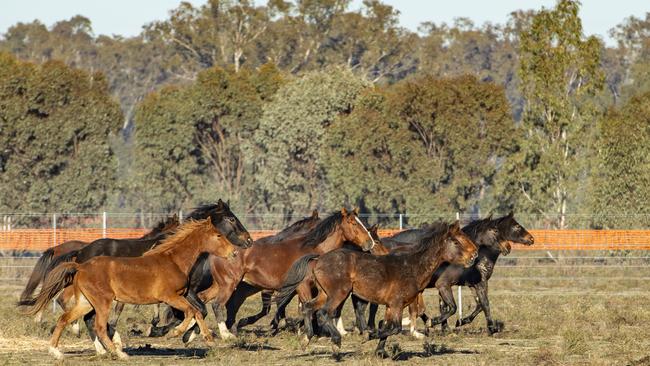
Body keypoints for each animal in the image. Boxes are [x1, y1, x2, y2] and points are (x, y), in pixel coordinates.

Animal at [17, 203, 251, 360]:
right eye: (229, 222)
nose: (242, 245)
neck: (173, 259)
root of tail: (81, 264)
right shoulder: (170, 296)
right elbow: (192, 311)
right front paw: (176, 333)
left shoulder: (184, 293)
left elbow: (197, 311)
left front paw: (203, 337)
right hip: (101, 302)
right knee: (97, 324)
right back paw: (117, 351)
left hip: (86, 302)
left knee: (66, 318)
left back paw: (58, 352)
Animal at [274, 222, 476, 356]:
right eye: (456, 242)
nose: (474, 255)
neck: (412, 267)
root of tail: (318, 259)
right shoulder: (396, 304)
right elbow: (393, 328)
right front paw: (367, 335)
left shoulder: (391, 306)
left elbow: (387, 326)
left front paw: (380, 351)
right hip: (339, 293)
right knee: (324, 313)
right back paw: (336, 342)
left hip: (325, 294)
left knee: (309, 308)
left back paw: (306, 339)